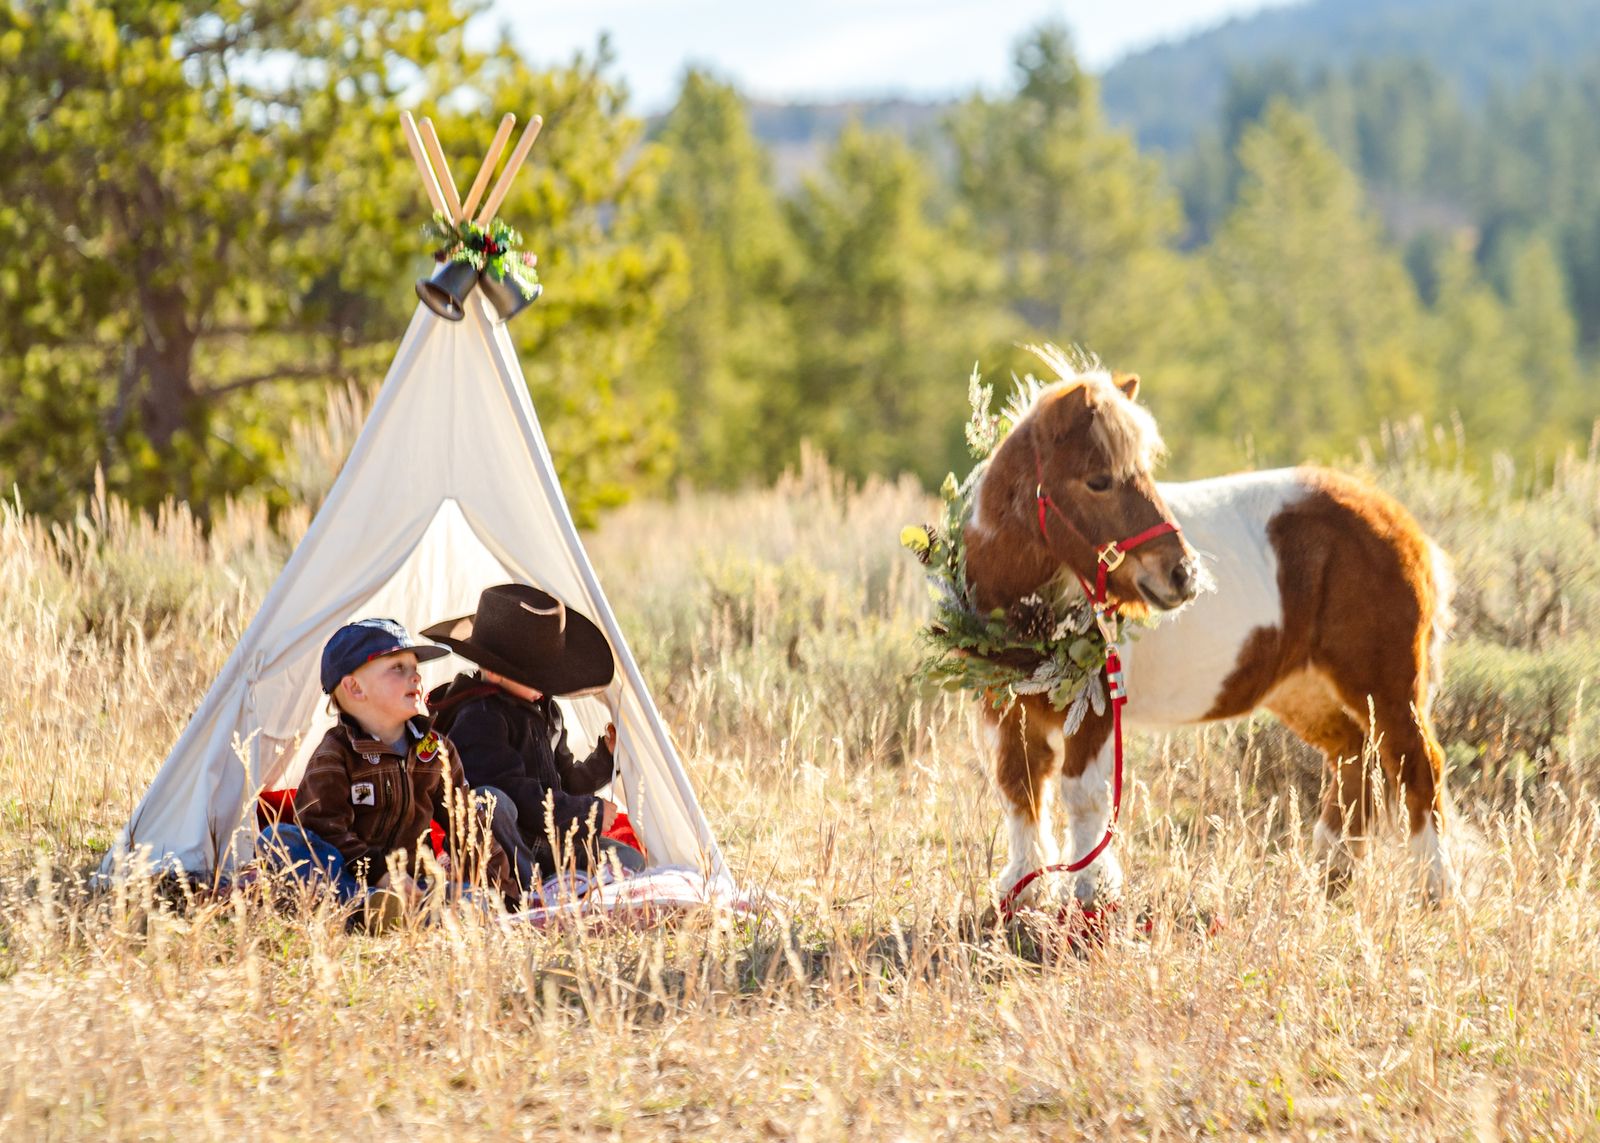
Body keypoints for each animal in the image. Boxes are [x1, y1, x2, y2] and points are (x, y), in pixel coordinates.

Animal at [962, 346, 1457, 913]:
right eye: (1099, 480)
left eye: (1145, 472)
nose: (1183, 573)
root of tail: (1401, 525)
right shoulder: (1005, 709)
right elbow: (1019, 788)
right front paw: (1020, 888)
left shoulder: (1096, 712)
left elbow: (1081, 795)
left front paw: (1088, 893)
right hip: (1303, 691)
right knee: (1353, 755)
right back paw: (1331, 878)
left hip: (1386, 687)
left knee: (1417, 764)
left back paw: (1435, 889)